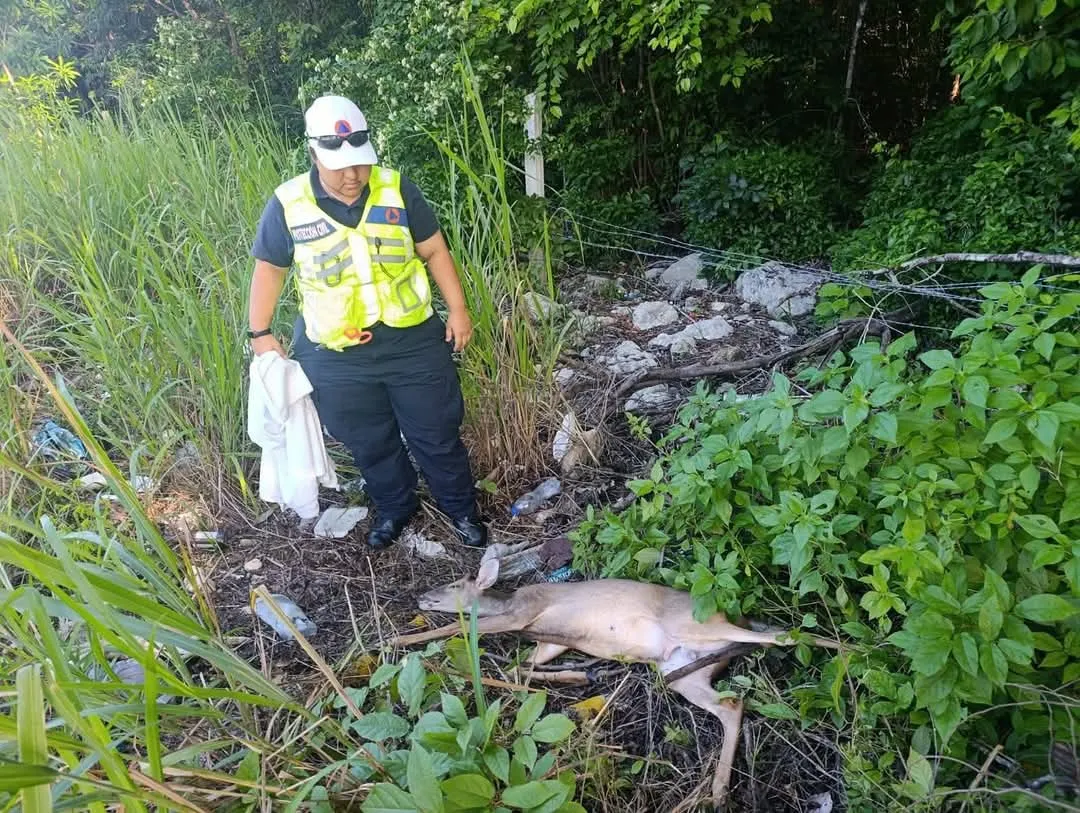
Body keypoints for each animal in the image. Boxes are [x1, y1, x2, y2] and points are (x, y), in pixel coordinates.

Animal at [391, 558, 844, 810]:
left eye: (455, 584)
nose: (420, 597)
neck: (510, 600)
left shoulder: (525, 612)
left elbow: (455, 628)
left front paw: (398, 641)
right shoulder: (549, 642)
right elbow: (522, 667)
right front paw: (578, 675)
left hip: (698, 628)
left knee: (785, 637)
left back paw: (853, 647)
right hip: (682, 671)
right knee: (733, 705)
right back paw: (716, 793)